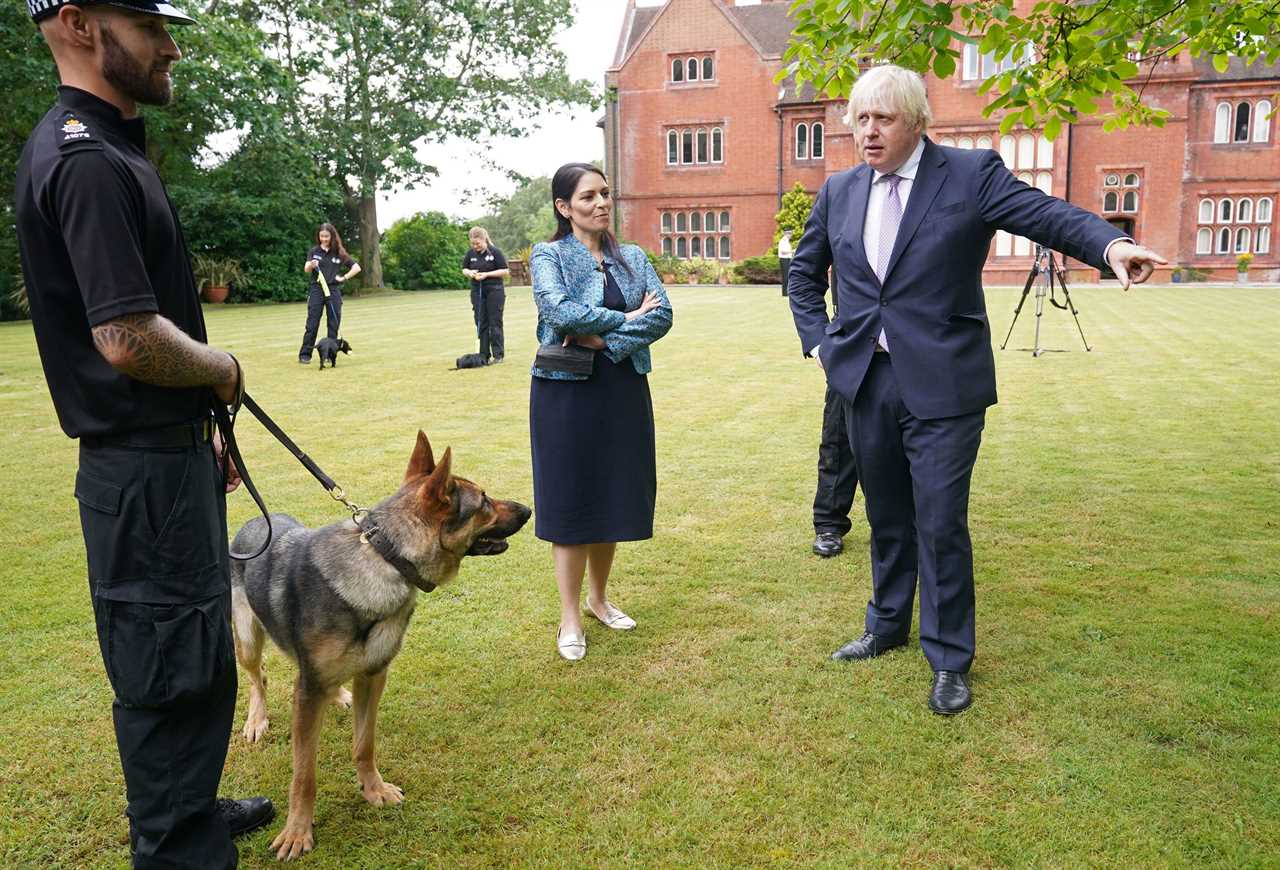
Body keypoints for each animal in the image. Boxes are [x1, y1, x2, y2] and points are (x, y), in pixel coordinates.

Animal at [230, 432, 529, 859]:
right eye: (484, 500)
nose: (529, 509)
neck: (387, 560)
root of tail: (256, 520)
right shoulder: (307, 693)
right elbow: (304, 774)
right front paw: (298, 831)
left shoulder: (373, 676)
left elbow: (364, 743)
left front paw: (372, 789)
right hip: (247, 640)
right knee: (259, 677)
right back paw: (257, 719)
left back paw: (337, 696)